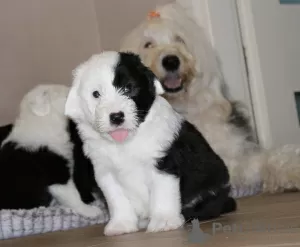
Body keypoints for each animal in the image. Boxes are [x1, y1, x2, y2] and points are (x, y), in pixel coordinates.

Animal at [65, 51, 237, 235]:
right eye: (96, 94)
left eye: (128, 88)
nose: (116, 116)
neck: (125, 144)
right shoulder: (106, 173)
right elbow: (117, 200)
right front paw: (121, 224)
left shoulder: (162, 164)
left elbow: (163, 194)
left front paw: (164, 221)